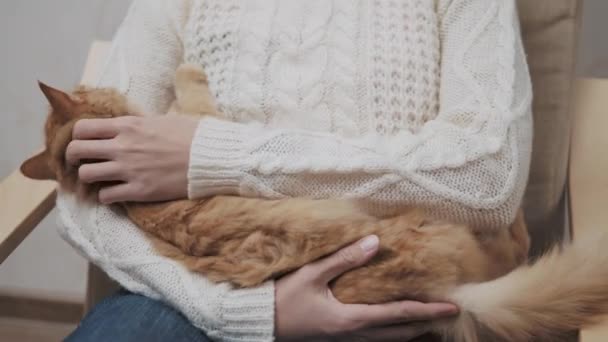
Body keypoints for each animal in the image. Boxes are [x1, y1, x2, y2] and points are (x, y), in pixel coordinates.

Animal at [22, 63, 608, 340]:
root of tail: (447, 291)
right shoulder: (203, 121)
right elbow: (191, 86)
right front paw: (189, 68)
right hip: (448, 227)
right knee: (512, 243)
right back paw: (517, 225)